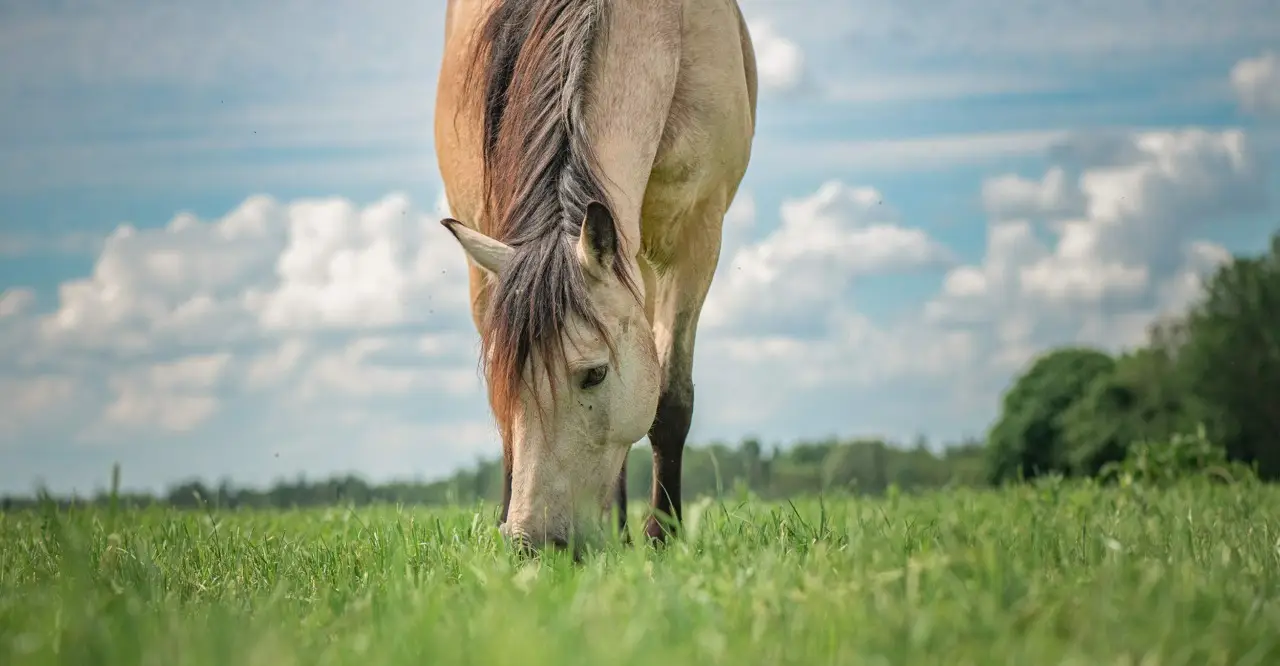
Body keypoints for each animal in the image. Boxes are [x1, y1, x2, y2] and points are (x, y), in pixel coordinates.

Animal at [434, 0, 757, 554]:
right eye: (505, 376)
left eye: (595, 374)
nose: (533, 543)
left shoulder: (697, 236)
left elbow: (671, 401)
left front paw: (662, 538)